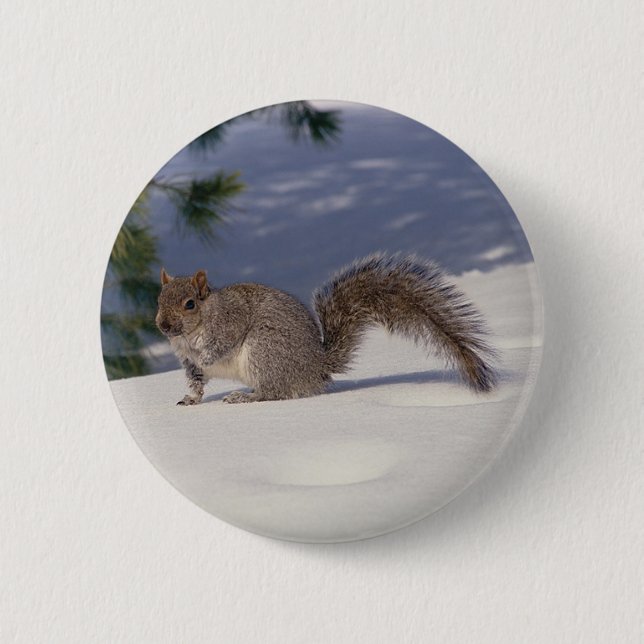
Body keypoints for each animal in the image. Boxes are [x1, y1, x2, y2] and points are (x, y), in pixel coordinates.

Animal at [155, 253, 498, 405]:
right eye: (158, 299)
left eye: (189, 304)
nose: (163, 325)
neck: (189, 335)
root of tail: (315, 367)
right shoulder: (188, 363)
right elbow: (196, 382)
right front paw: (191, 400)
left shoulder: (231, 321)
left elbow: (222, 344)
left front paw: (208, 355)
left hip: (264, 351)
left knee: (275, 392)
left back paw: (247, 397)